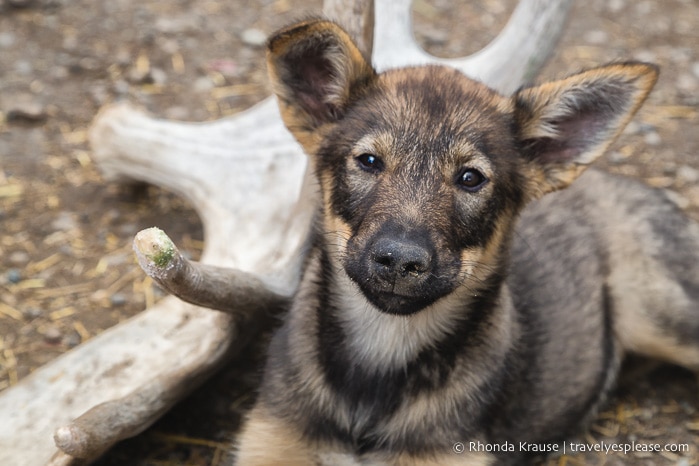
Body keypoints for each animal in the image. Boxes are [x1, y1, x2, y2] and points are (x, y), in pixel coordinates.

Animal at [231, 20, 699, 464]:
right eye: (369, 161)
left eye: (470, 178)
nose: (399, 261)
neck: (382, 358)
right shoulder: (273, 443)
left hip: (663, 314)